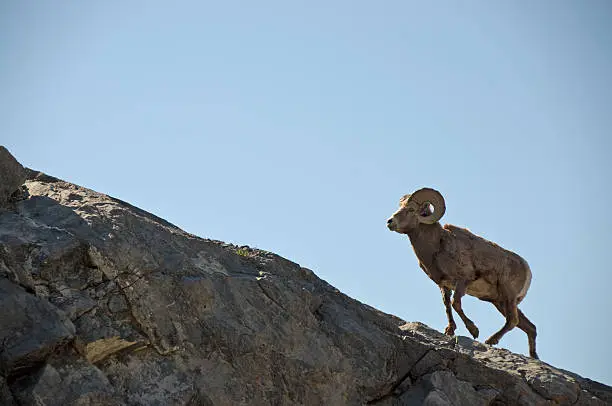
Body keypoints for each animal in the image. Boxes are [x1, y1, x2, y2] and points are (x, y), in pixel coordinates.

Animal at [388, 188, 536, 358]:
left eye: (411, 209)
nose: (390, 222)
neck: (437, 246)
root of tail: (526, 268)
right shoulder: (444, 285)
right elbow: (447, 305)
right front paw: (449, 330)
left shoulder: (462, 281)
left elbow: (455, 304)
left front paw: (474, 331)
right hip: (500, 302)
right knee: (529, 327)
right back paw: (533, 356)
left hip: (508, 298)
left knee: (512, 321)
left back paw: (490, 340)